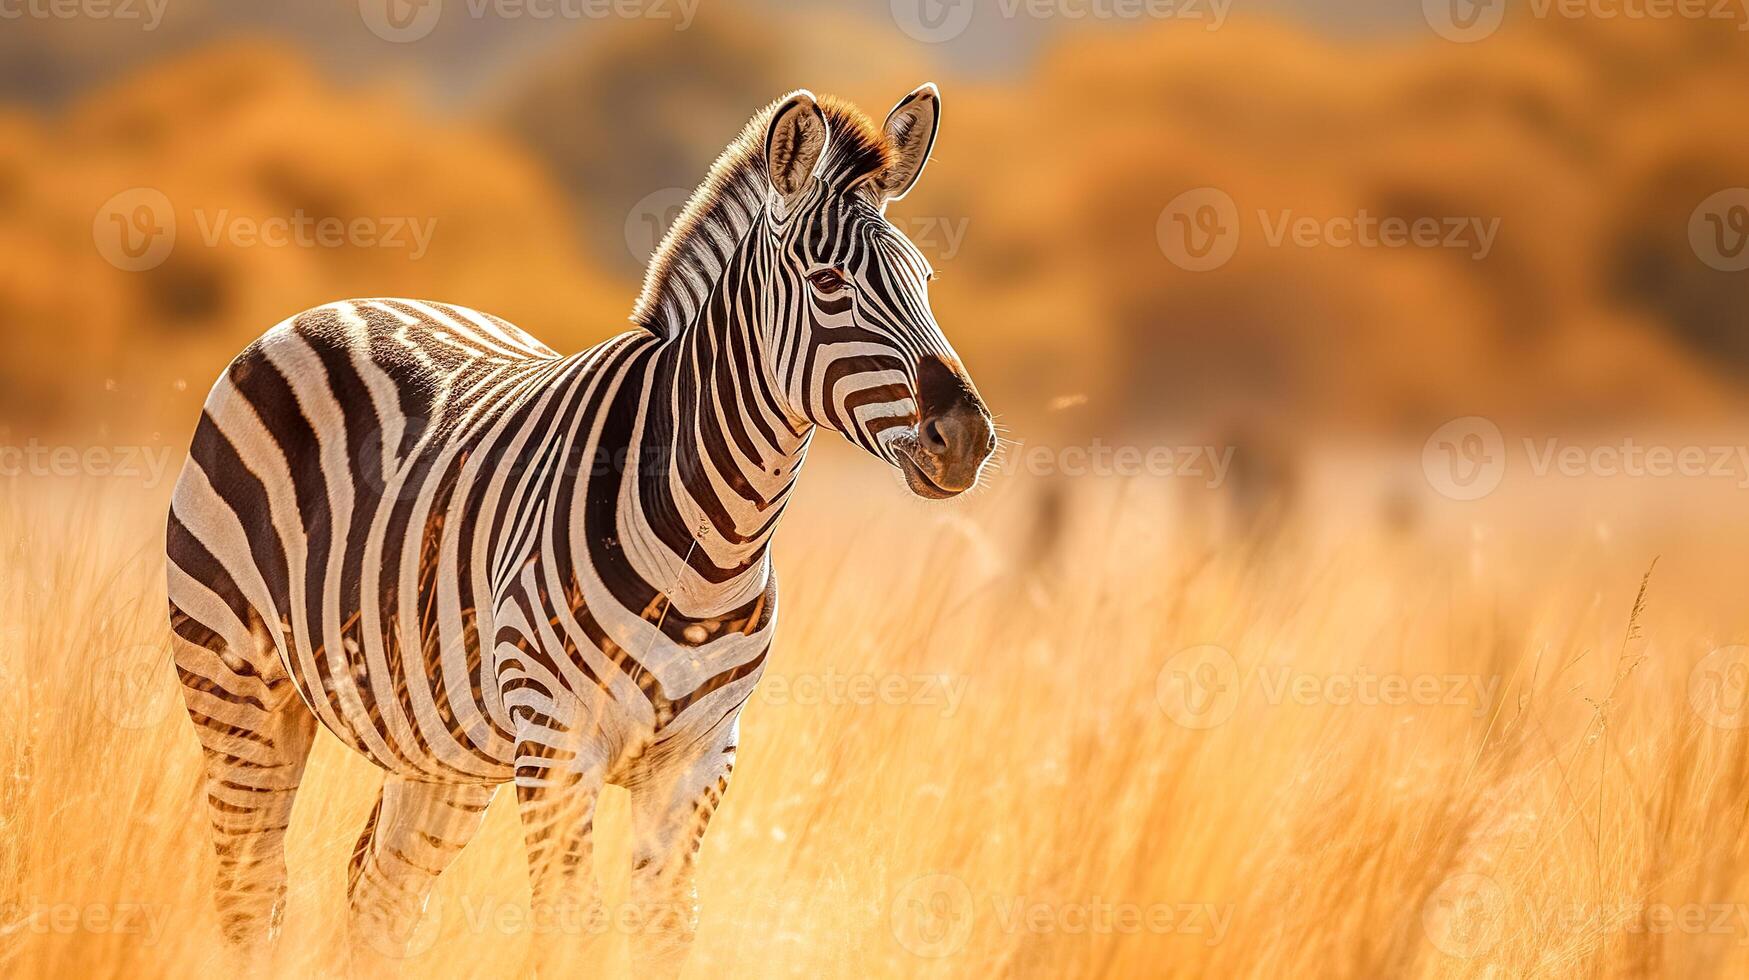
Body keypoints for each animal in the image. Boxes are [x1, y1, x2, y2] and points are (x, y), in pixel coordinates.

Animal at [164, 86, 1000, 973]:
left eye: (924, 280)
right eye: (830, 282)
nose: (966, 438)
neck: (715, 547)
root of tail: (340, 304)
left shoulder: (699, 761)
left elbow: (666, 932)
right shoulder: (560, 748)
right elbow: (568, 928)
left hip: (440, 749)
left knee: (378, 899)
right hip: (236, 682)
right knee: (251, 889)